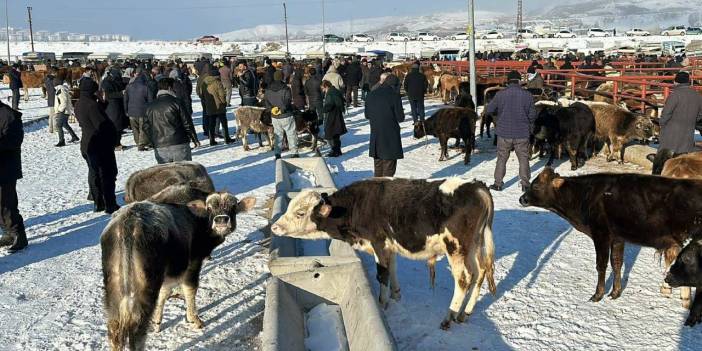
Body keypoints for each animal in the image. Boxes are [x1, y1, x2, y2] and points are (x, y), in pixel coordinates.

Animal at [270, 179, 496, 330]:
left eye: (300, 213)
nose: (274, 226)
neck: (355, 206)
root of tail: (478, 188)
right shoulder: (389, 246)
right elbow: (392, 269)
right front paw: (395, 294)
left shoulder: (378, 243)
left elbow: (382, 274)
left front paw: (383, 302)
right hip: (473, 247)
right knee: (479, 274)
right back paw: (464, 314)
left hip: (456, 248)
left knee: (464, 280)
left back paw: (449, 317)